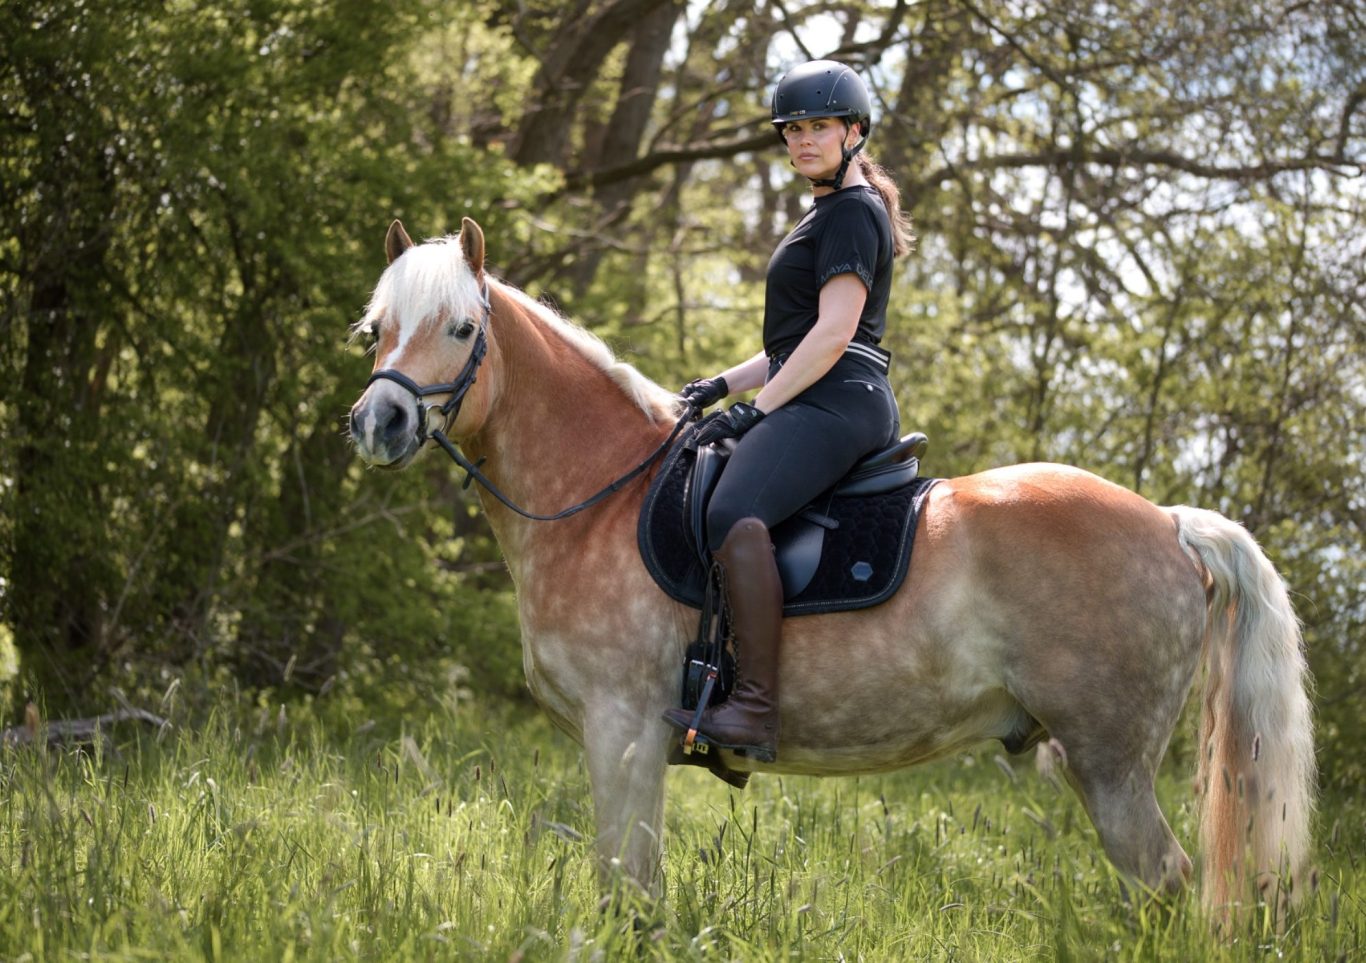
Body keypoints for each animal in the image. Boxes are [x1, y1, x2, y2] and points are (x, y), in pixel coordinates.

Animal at [347, 217, 1314, 918]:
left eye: (461, 327)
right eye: (378, 331)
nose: (379, 422)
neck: (601, 496)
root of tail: (1170, 524)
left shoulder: (621, 730)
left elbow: (626, 888)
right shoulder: (628, 742)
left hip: (1110, 763)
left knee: (1166, 880)